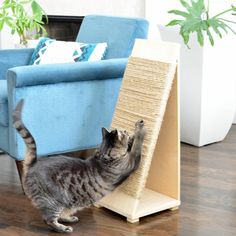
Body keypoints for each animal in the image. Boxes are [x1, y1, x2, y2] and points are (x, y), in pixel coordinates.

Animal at [13, 99, 146, 232]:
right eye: (125, 132)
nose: (126, 131)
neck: (104, 155)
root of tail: (33, 163)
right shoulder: (132, 162)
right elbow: (136, 147)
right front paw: (139, 129)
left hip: (67, 204)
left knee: (61, 215)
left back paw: (69, 218)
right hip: (54, 202)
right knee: (49, 220)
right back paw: (63, 228)